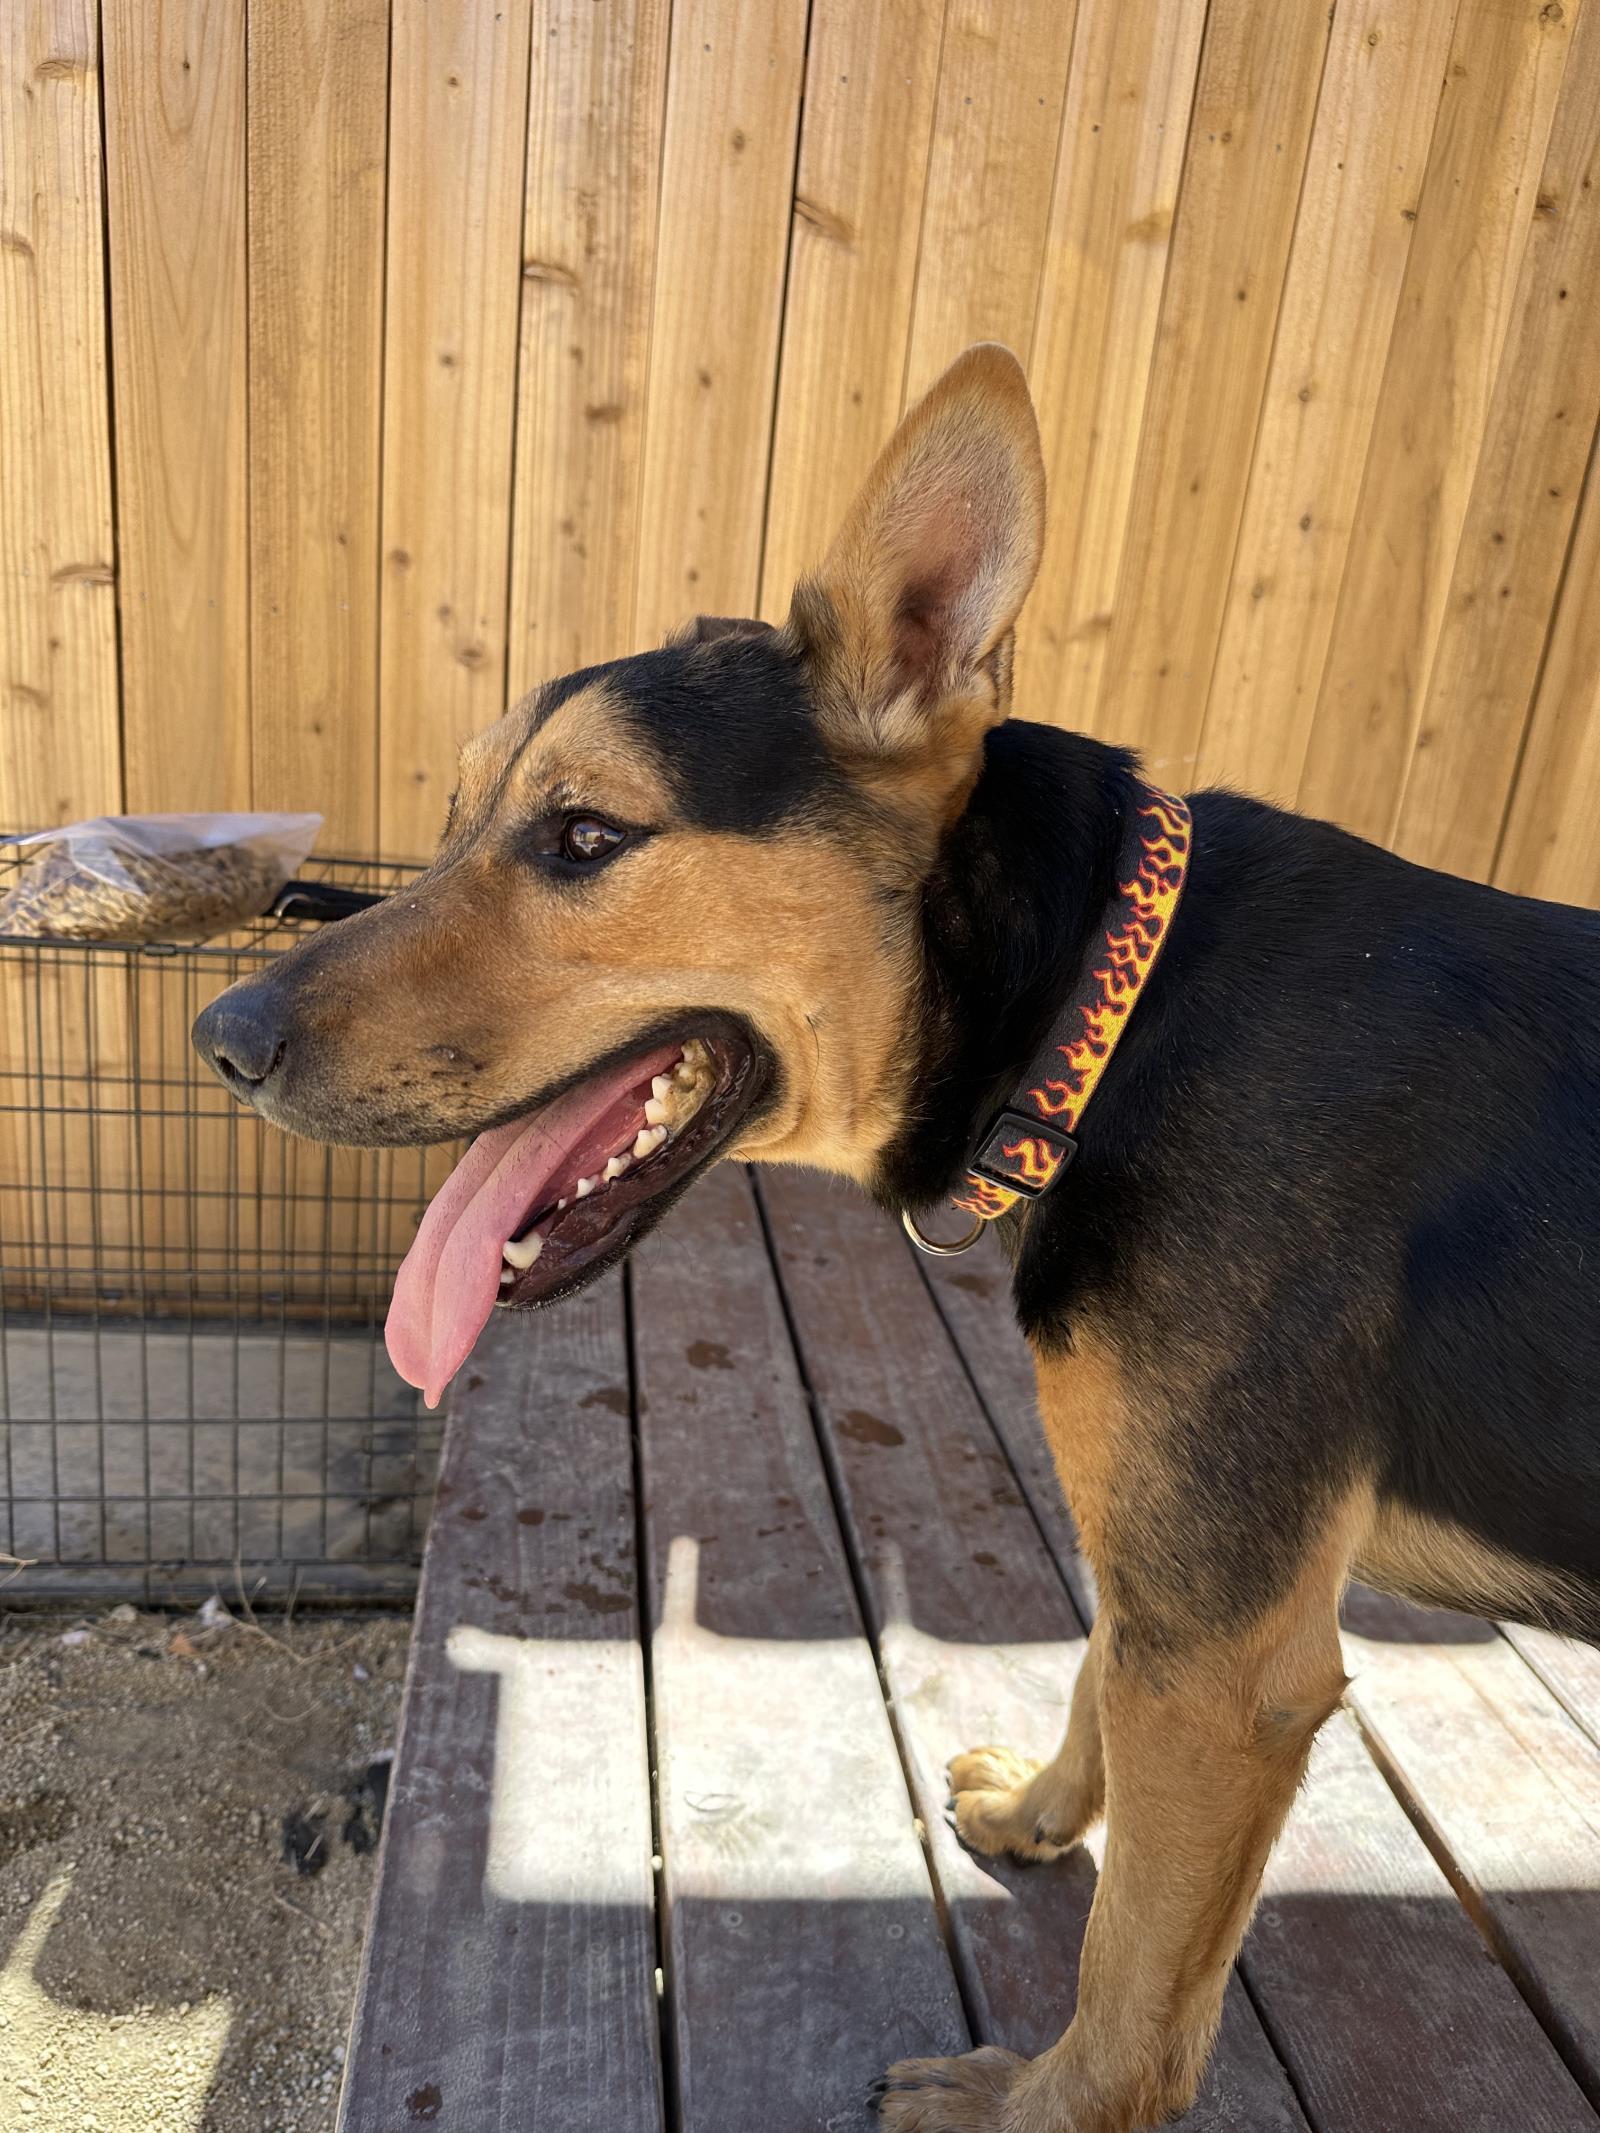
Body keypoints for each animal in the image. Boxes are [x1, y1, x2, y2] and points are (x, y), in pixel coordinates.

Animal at [190, 349, 1600, 2133]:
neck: (1103, 1006)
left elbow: (1137, 1996)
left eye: (583, 836)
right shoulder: (1177, 1581)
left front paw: (1033, 2109)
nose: (219, 1036)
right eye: (454, 822)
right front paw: (1050, 1816)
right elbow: (1094, 1679)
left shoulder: (1229, 1660)